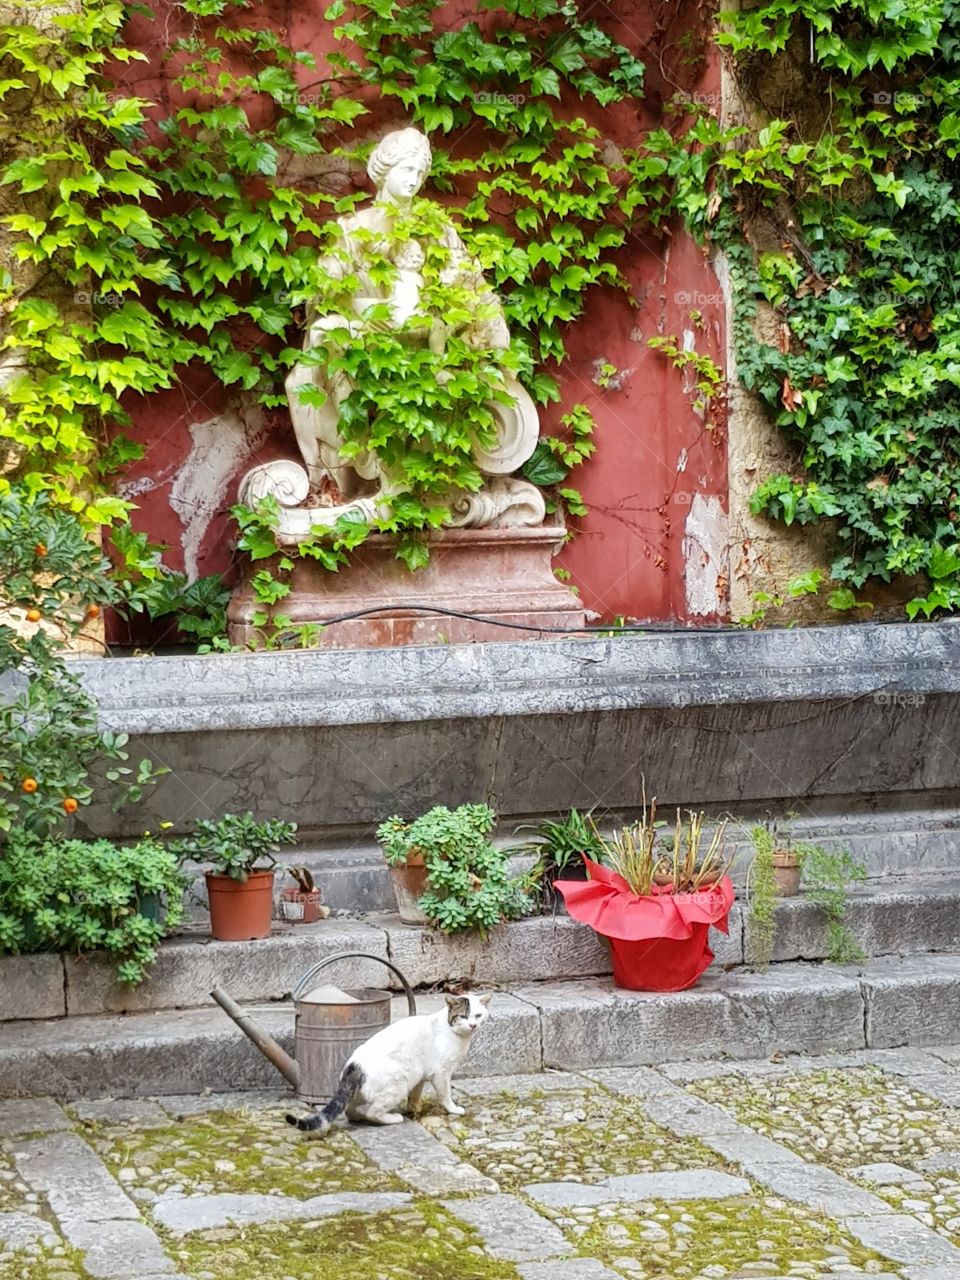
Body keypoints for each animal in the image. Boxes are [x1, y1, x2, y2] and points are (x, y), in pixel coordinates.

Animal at [285, 983, 491, 1136]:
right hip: (399, 1082)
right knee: (370, 1111)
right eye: (463, 1016)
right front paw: (453, 1109)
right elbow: (445, 1094)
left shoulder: (421, 1074)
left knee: (352, 1110)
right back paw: (392, 1118)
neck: (456, 1034)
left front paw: (414, 1109)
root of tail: (354, 1065)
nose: (473, 1025)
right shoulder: (441, 1072)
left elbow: (416, 1094)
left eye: (478, 1015)